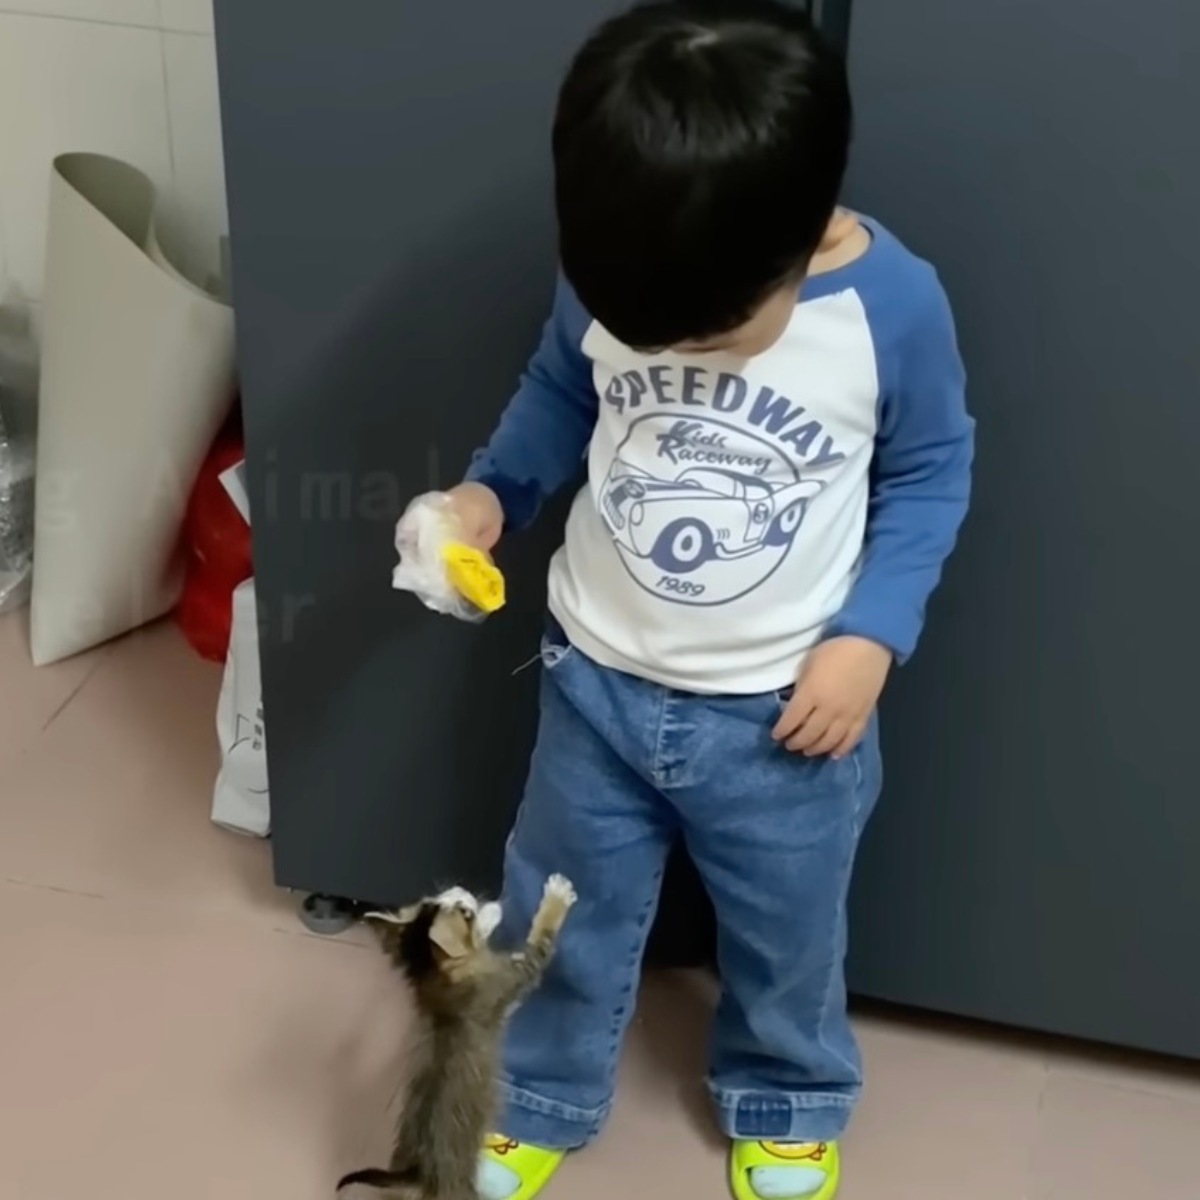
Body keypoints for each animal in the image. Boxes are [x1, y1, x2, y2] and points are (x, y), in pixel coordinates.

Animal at [338, 873, 580, 1200]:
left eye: (439, 900)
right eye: (463, 913)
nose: (459, 890)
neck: (436, 981)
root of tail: (416, 1173)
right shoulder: (517, 974)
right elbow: (541, 938)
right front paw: (556, 896)